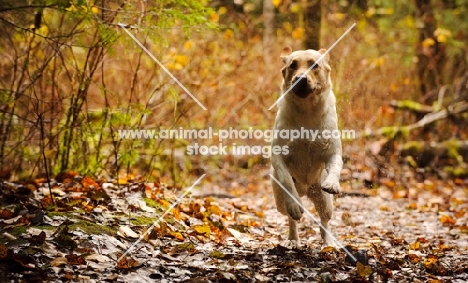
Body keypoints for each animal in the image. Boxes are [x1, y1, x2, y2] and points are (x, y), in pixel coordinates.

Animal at [268, 46, 342, 246]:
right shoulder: (278, 155)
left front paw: (333, 183)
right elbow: (286, 178)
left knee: (325, 220)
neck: (306, 111)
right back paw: (293, 238)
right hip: (279, 200)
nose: (300, 79)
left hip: (323, 199)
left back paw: (328, 242)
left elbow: (336, 166)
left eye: (314, 65)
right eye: (292, 65)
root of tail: (305, 188)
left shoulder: (332, 151)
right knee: (290, 217)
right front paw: (295, 205)